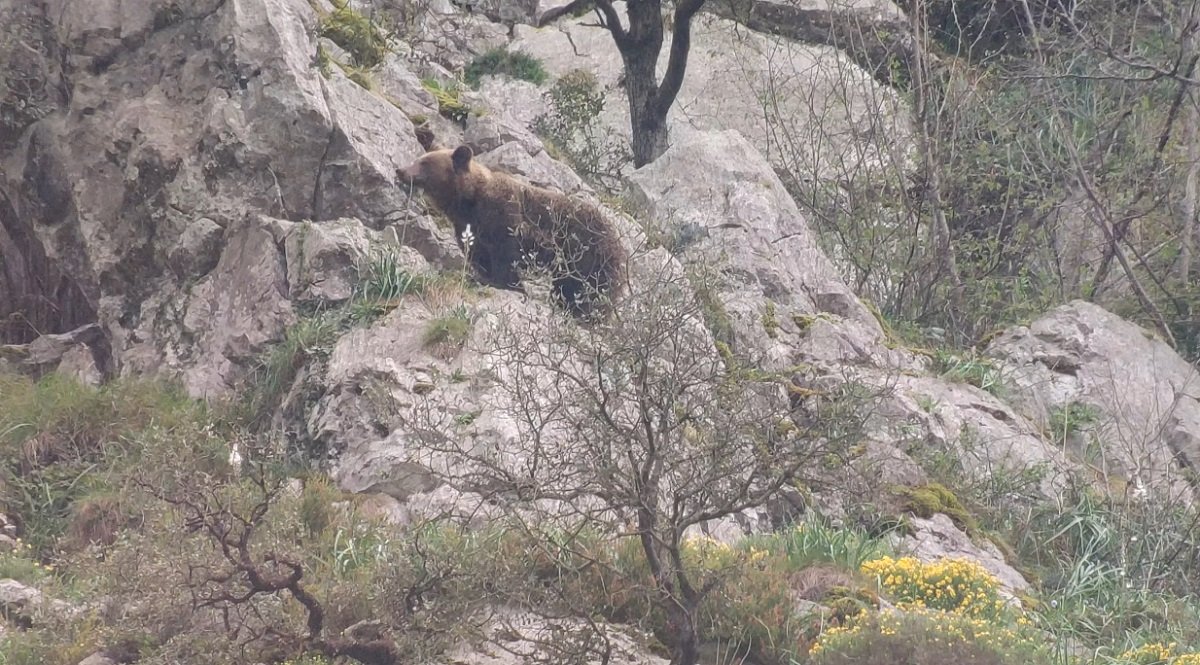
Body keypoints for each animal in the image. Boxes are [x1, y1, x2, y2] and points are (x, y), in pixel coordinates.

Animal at [398, 145, 627, 319]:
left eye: (424, 162)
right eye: (419, 159)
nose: (401, 171)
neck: (468, 201)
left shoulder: (504, 215)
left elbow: (506, 255)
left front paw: (505, 283)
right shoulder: (468, 229)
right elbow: (479, 255)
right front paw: (483, 277)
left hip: (588, 253)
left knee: (590, 288)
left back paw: (585, 314)